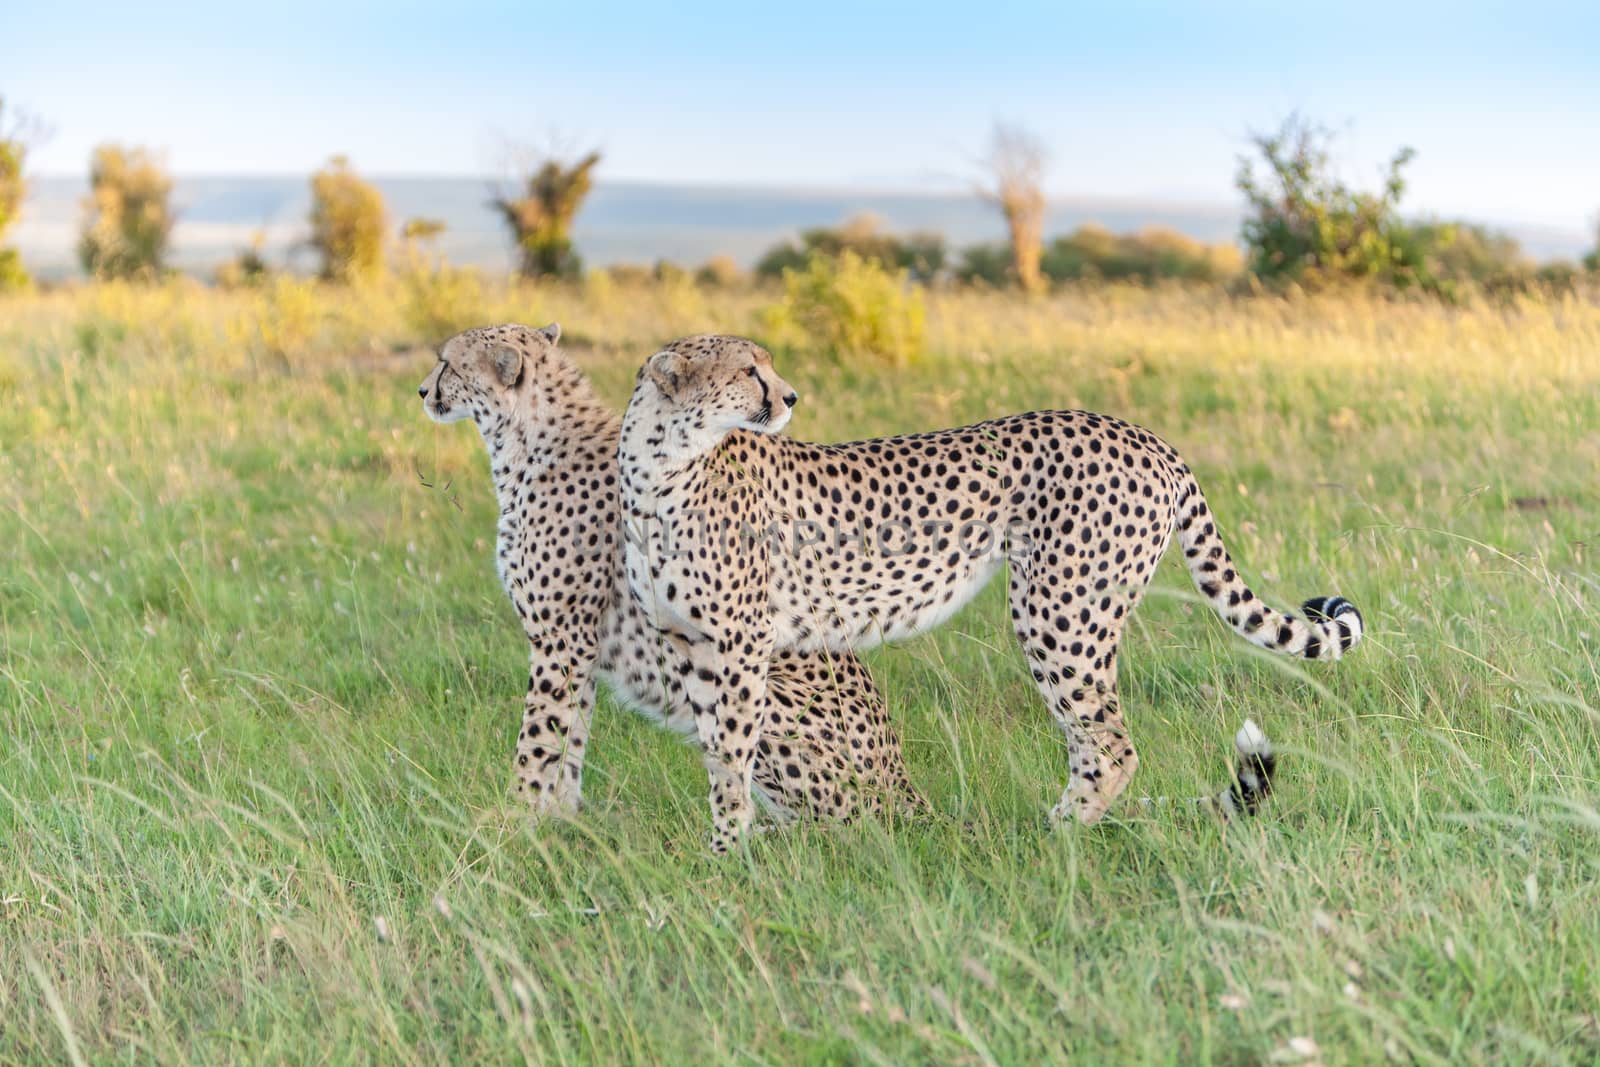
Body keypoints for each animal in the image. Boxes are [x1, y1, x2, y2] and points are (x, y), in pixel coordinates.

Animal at [419, 326, 928, 825]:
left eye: (447, 365)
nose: (423, 390)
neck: (526, 442)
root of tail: (906, 785)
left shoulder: (564, 638)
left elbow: (539, 737)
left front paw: (514, 820)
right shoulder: (577, 647)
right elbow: (570, 738)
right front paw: (561, 821)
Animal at [614, 334, 1363, 851]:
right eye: (749, 371)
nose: (791, 397)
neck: (660, 464)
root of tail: (1146, 436)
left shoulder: (741, 645)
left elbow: (731, 754)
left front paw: (724, 854)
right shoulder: (692, 645)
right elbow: (715, 751)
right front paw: (727, 846)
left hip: (1059, 611)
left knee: (1109, 746)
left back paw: (1054, 838)